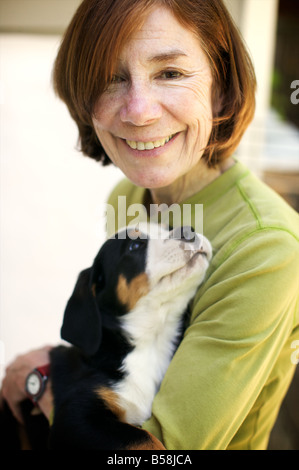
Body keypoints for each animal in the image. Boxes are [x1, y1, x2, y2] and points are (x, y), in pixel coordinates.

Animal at [1, 225, 213, 452]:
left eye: (169, 227)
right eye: (135, 245)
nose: (187, 230)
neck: (151, 343)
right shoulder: (75, 417)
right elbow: (144, 437)